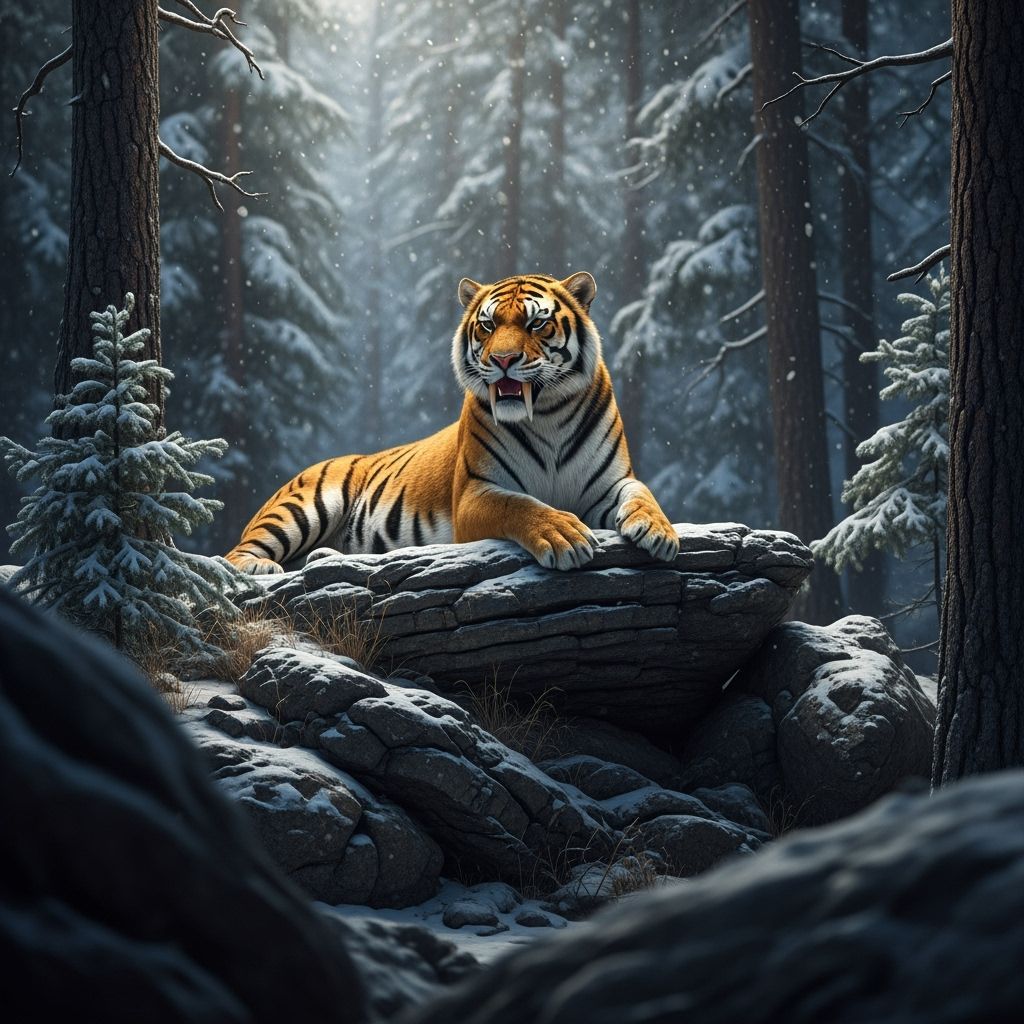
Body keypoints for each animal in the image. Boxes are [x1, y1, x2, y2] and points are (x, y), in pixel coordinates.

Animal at [225, 271, 679, 574]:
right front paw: (563, 534)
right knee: (233, 556)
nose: (502, 359)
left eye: (536, 322)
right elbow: (520, 504)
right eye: (488, 325)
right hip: (305, 505)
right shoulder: (474, 495)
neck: (548, 415)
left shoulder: (610, 484)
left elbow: (641, 493)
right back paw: (261, 567)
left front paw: (658, 530)